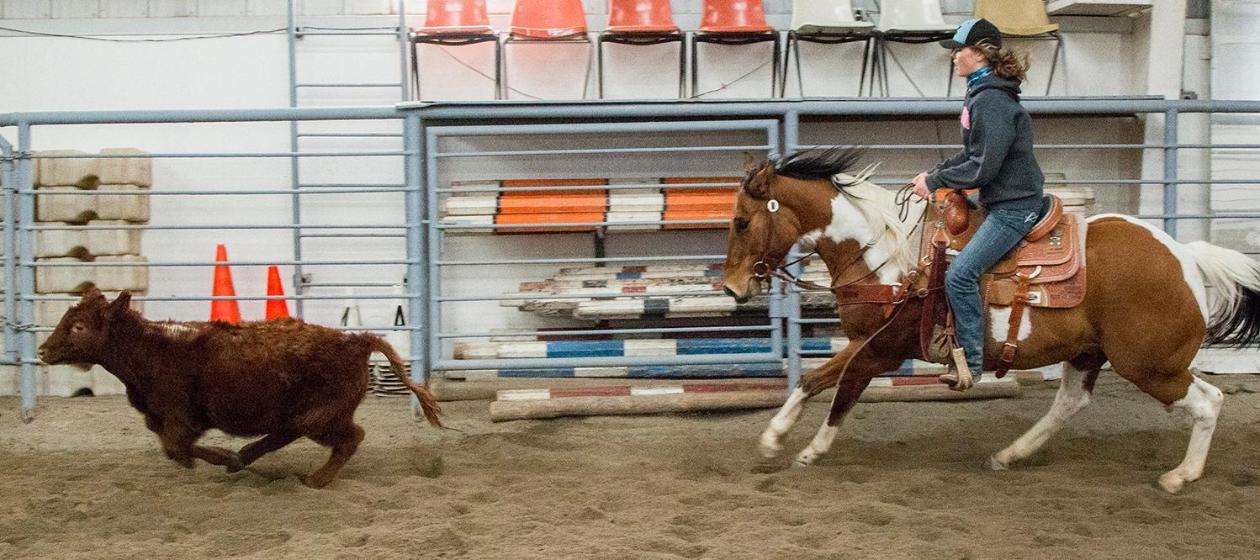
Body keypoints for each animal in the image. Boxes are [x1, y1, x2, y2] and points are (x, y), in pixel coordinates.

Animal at [40, 288, 443, 486]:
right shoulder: (160, 418)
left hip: (322, 415)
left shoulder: (179, 417)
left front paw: (223, 457)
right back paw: (248, 457)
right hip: (305, 414)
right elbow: (175, 450)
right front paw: (230, 459)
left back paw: (314, 480)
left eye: (78, 326)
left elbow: (178, 449)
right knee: (286, 433)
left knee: (350, 437)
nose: (43, 350)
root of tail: (356, 341)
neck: (152, 347)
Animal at [720, 148, 1260, 494]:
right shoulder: (866, 341)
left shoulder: (883, 349)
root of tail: (1185, 257)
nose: (732, 287)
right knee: (1070, 403)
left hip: (1149, 364)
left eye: (742, 222)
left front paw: (803, 447)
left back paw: (1180, 476)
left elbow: (841, 388)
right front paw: (778, 439)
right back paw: (1010, 455)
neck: (887, 256)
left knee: (1208, 402)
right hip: (1090, 353)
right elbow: (815, 380)